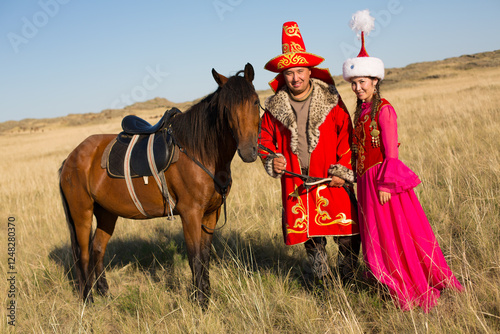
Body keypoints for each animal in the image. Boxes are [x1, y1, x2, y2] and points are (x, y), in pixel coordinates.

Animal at [59, 63, 258, 308]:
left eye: (255, 102)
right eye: (225, 109)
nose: (248, 151)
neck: (199, 151)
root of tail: (70, 158)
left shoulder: (211, 213)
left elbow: (205, 255)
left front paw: (207, 296)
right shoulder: (190, 214)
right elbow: (195, 258)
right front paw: (200, 302)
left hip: (106, 213)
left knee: (97, 249)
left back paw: (104, 293)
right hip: (82, 214)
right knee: (83, 254)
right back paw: (88, 299)